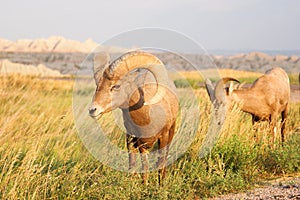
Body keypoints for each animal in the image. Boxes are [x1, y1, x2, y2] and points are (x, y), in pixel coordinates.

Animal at [88, 50, 178, 184]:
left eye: (116, 86)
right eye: (97, 85)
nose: (93, 110)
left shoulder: (163, 137)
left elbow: (160, 164)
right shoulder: (134, 141)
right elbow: (138, 166)